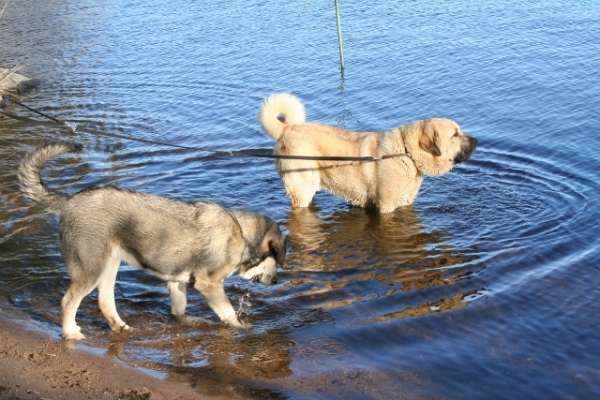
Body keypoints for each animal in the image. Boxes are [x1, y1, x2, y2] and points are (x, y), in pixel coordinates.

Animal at [18, 142, 286, 340]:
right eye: (277, 260)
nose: (276, 282)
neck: (242, 233)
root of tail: (71, 201)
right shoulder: (209, 284)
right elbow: (229, 314)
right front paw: (243, 328)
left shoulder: (176, 282)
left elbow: (179, 312)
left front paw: (187, 323)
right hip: (91, 269)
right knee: (68, 301)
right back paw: (70, 333)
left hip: (110, 265)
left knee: (105, 301)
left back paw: (119, 326)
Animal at [260, 93, 476, 212]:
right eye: (455, 134)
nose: (477, 141)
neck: (407, 153)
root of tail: (287, 129)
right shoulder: (387, 206)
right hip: (301, 189)